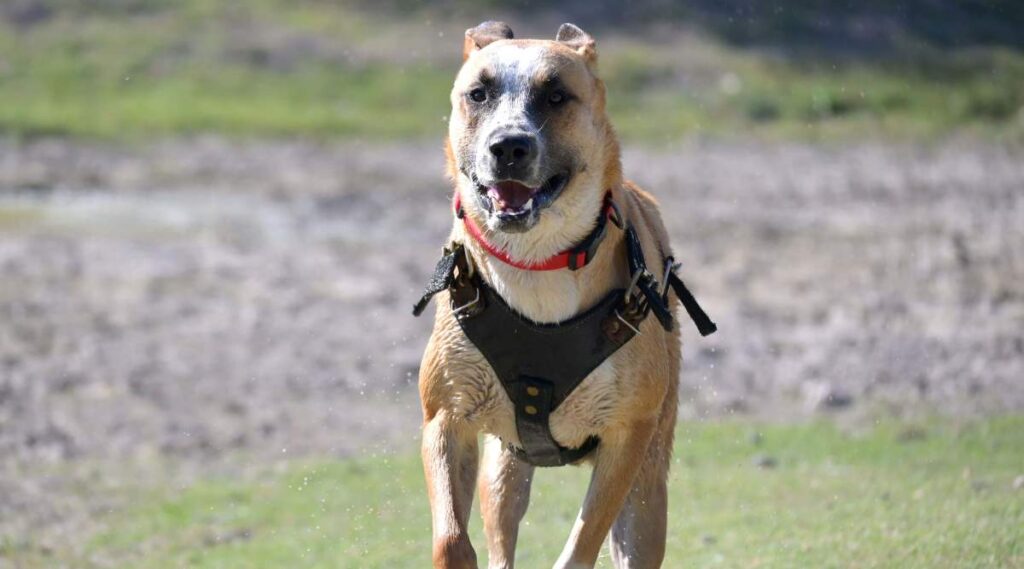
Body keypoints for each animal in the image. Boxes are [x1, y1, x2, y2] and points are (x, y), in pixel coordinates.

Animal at [411, 19, 716, 564]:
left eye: (556, 95)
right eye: (478, 93)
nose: (509, 146)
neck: (537, 262)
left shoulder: (626, 436)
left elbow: (581, 543)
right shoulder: (446, 415)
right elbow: (450, 538)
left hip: (648, 488)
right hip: (504, 470)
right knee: (501, 528)